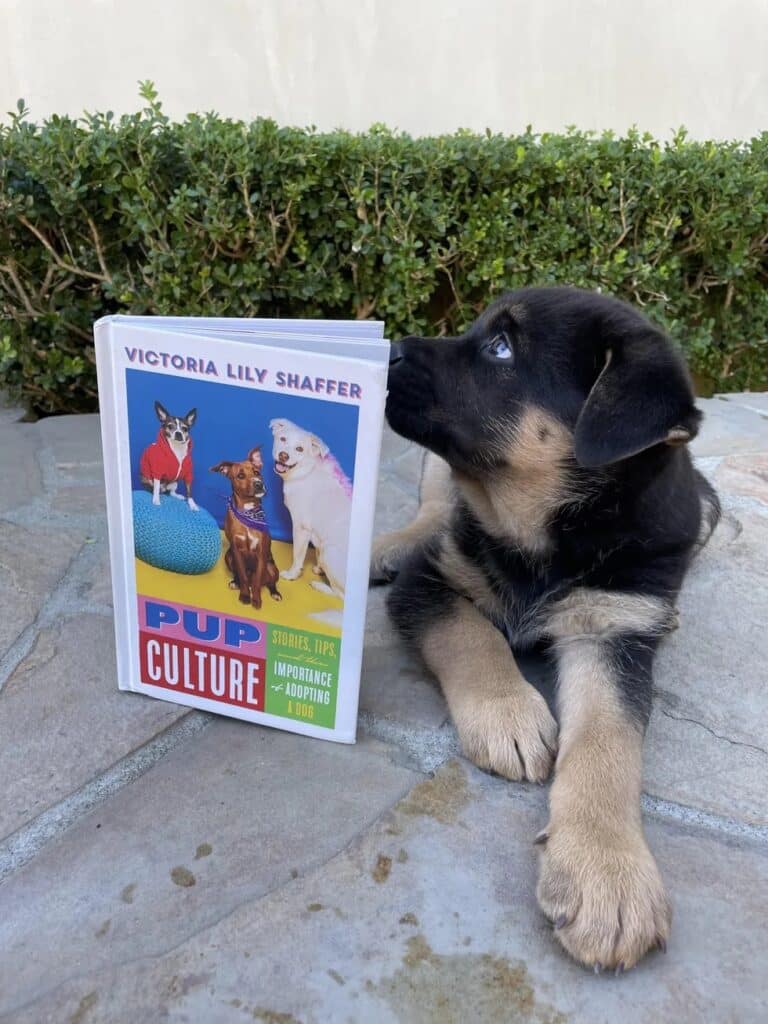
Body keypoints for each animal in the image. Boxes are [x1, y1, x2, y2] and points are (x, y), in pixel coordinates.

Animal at [210, 448, 282, 606]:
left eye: (257, 472)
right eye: (241, 475)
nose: (258, 484)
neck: (248, 511)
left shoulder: (261, 553)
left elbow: (257, 581)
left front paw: (256, 599)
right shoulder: (236, 551)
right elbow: (242, 574)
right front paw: (244, 595)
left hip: (272, 567)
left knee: (268, 582)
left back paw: (275, 592)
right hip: (228, 556)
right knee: (240, 575)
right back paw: (235, 582)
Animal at [270, 415, 352, 598]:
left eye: (299, 449)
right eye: (283, 439)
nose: (283, 455)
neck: (306, 472)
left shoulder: (301, 528)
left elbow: (297, 555)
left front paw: (292, 574)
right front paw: (317, 568)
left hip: (330, 551)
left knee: (340, 595)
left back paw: (320, 585)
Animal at [372, 284, 720, 970]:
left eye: (502, 348)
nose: (388, 346)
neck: (546, 535)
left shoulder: (615, 628)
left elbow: (609, 741)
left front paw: (606, 873)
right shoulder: (431, 578)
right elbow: (471, 633)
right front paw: (507, 713)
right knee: (432, 505)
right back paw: (384, 547)